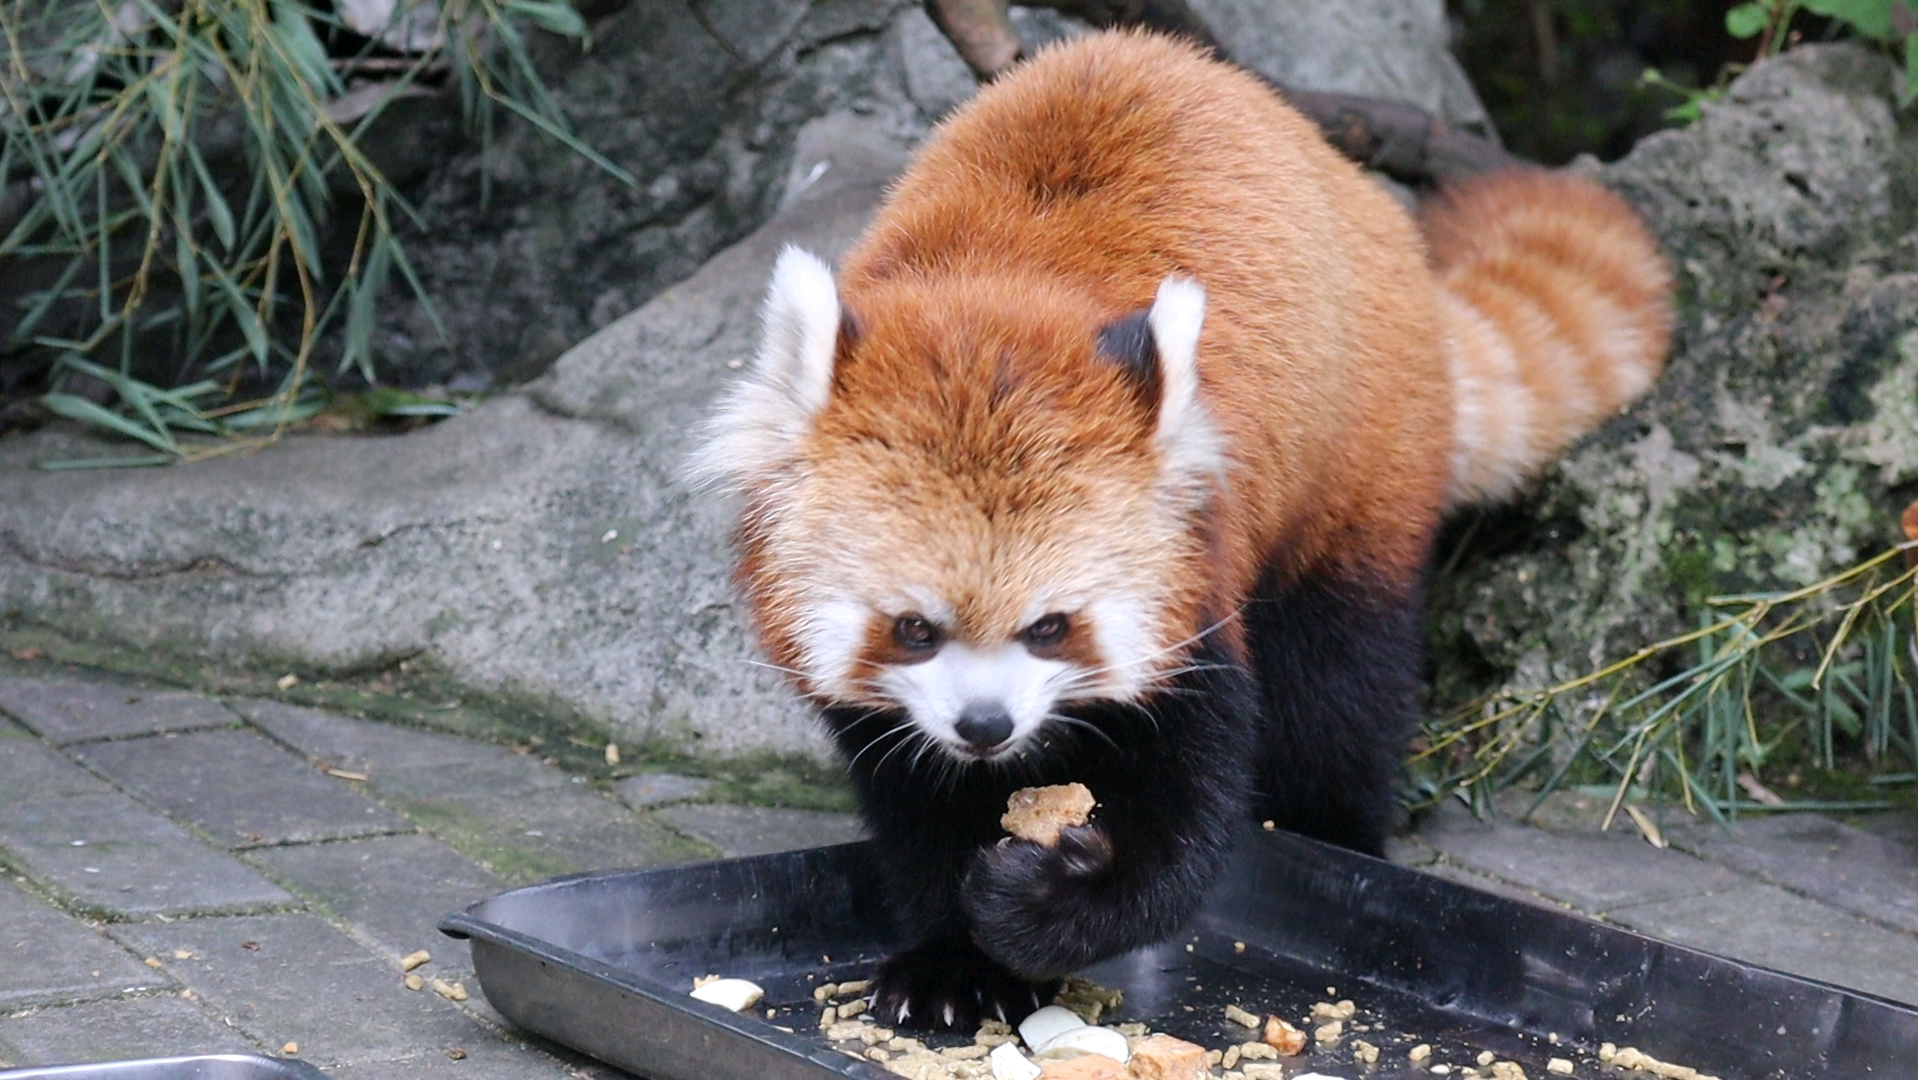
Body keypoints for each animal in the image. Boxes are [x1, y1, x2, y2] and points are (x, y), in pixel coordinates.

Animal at [686, 31, 1664, 1028]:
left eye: (1052, 626)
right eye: (914, 628)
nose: (986, 726)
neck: (995, 293)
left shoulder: (1196, 575)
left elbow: (1190, 817)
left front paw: (1054, 905)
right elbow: (916, 804)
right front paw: (952, 963)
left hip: (1357, 469)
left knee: (1340, 686)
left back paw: (1336, 834)